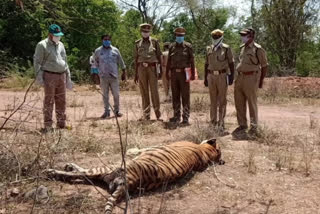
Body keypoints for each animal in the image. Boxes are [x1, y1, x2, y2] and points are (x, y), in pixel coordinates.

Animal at [44, 138, 222, 213]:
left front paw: (132, 150)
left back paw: (51, 171)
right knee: (81, 174)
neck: (207, 153)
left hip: (109, 167)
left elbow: (142, 148)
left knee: (79, 172)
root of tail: (129, 183)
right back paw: (66, 166)